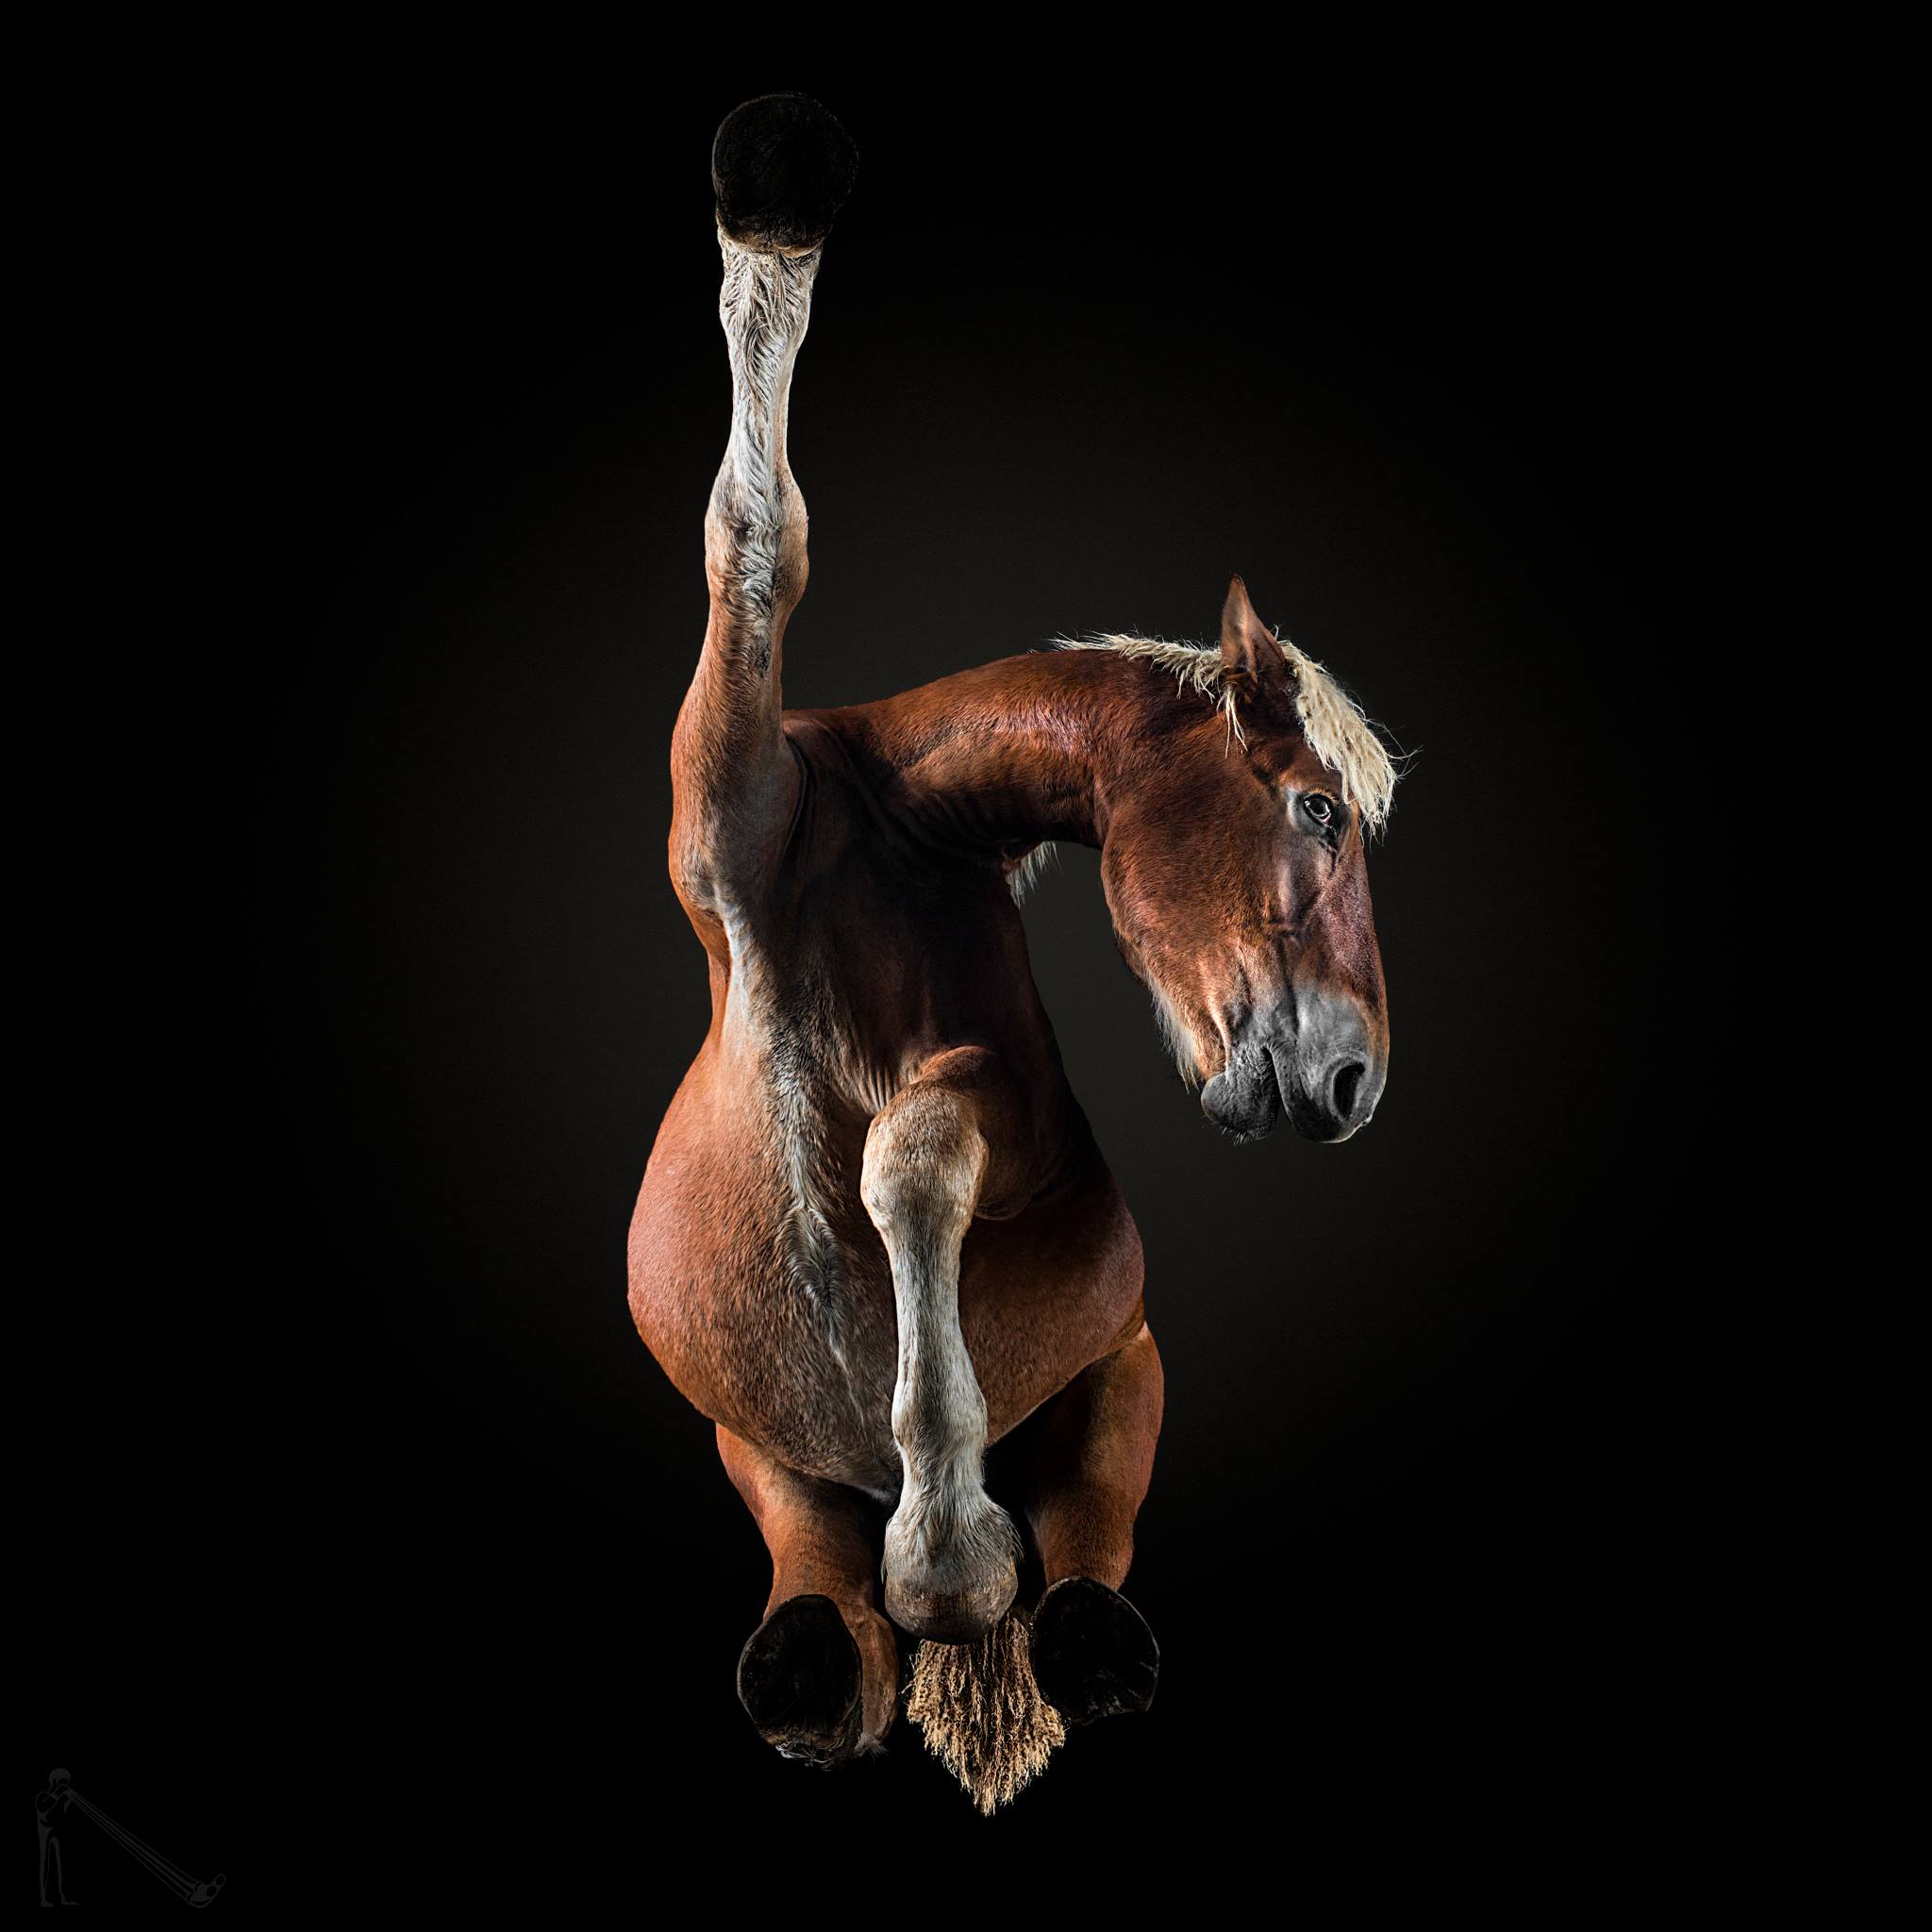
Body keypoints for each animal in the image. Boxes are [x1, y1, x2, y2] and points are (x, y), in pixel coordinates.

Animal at [626, 94, 1400, 1812]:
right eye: (1315, 807)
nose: (1352, 1083)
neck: (882, 826)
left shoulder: (1020, 1122)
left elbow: (912, 1149)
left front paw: (954, 1550)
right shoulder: (721, 814)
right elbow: (752, 536)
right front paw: (773, 196)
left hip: (1128, 1371)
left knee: (1093, 1544)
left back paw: (1064, 1628)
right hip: (748, 1447)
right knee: (808, 1575)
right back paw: (826, 1650)